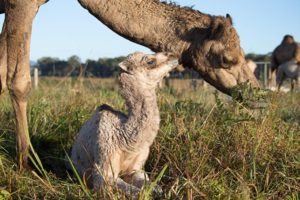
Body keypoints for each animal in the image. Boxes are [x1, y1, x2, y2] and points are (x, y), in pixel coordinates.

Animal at [69, 51, 177, 195]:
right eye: (150, 61)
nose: (173, 55)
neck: (125, 140)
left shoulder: (136, 169)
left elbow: (150, 184)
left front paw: (161, 191)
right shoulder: (104, 166)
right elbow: (127, 189)